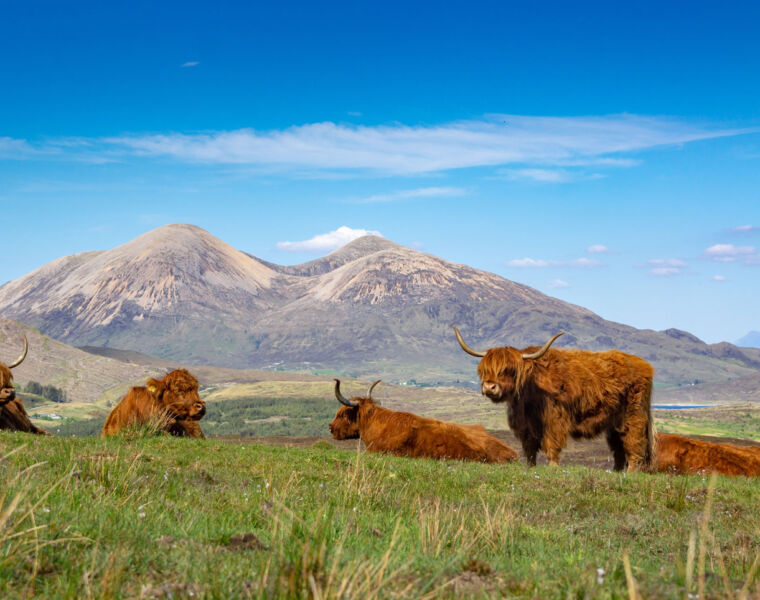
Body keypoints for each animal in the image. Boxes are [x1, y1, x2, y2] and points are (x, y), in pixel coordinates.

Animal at [454, 326, 656, 472]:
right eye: (485, 370)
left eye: (508, 370)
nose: (489, 387)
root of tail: (644, 365)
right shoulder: (526, 426)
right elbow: (529, 448)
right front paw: (530, 468)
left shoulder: (554, 421)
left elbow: (551, 445)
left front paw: (552, 468)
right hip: (613, 422)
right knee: (618, 447)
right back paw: (616, 472)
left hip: (634, 415)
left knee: (634, 443)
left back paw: (631, 472)